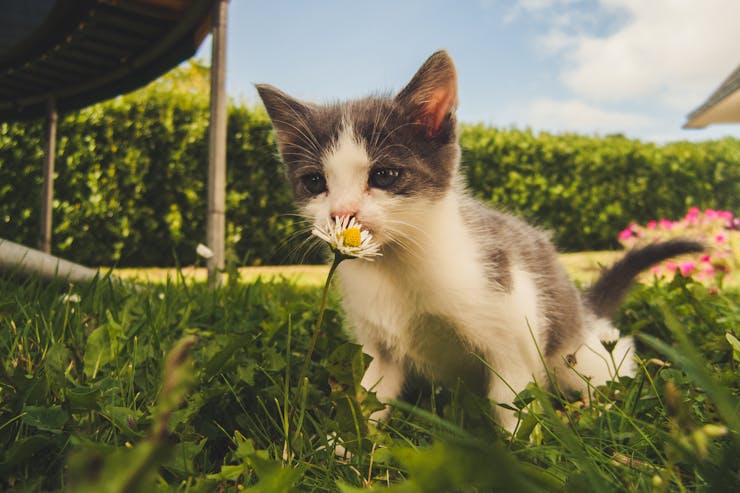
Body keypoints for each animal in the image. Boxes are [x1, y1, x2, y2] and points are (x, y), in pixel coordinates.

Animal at [258, 48, 704, 428]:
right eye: (315, 182)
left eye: (383, 175)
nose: (341, 213)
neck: (398, 265)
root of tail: (583, 309)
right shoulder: (378, 346)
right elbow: (371, 395)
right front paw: (342, 448)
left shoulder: (513, 325)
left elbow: (512, 402)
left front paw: (521, 455)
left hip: (574, 350)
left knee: (610, 359)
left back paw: (600, 408)